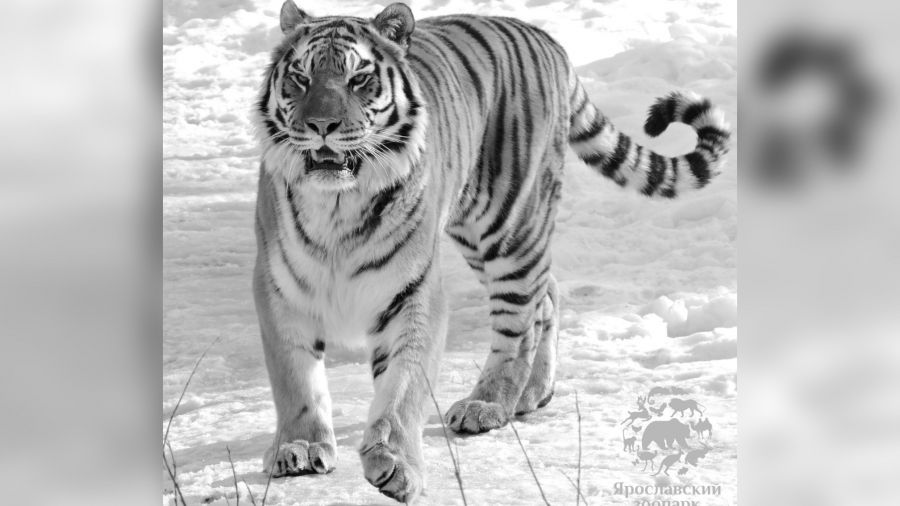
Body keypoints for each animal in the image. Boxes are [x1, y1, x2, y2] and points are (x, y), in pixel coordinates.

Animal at [252, 1, 730, 502]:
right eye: (301, 78)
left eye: (358, 79)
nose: (321, 126)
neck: (337, 208)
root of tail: (547, 39)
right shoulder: (279, 290)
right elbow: (295, 381)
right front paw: (301, 447)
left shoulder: (413, 293)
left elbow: (402, 387)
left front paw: (397, 463)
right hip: (480, 234)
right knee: (547, 294)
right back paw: (534, 393)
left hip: (510, 226)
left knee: (519, 321)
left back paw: (489, 403)